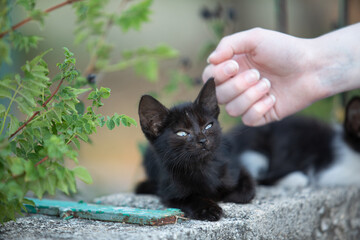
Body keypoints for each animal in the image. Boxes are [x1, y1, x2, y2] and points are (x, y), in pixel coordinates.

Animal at [136, 78, 256, 221]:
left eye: (208, 126)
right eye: (182, 133)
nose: (203, 140)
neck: (202, 166)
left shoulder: (235, 166)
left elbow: (246, 190)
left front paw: (229, 195)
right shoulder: (170, 191)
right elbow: (191, 199)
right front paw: (208, 209)